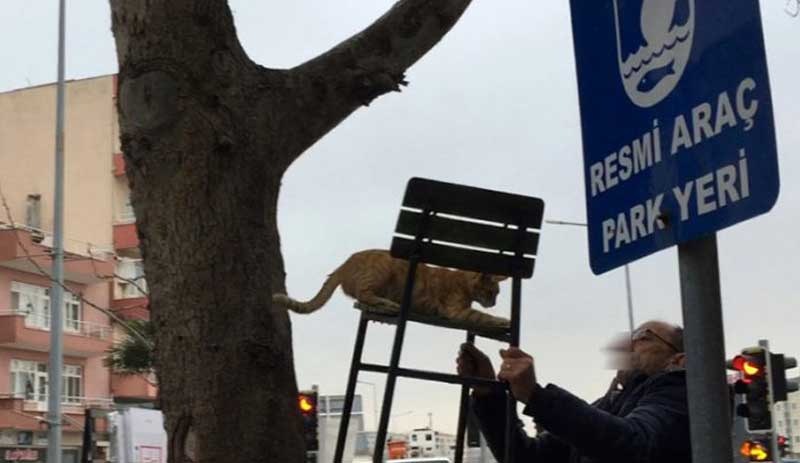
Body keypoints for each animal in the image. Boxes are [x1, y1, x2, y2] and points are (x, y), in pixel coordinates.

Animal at [276, 250, 510, 330]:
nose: (494, 303)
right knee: (363, 294)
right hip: (382, 270)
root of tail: (343, 265)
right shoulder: (456, 311)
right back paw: (389, 304)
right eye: (492, 293)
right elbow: (483, 316)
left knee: (362, 300)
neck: (461, 279)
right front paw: (504, 320)